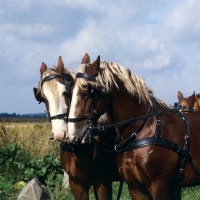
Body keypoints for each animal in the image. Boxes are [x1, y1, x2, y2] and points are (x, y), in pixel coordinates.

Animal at [67, 53, 200, 200]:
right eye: (70, 92)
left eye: (86, 93)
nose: (72, 134)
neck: (145, 129)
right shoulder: (135, 189)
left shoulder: (160, 188)